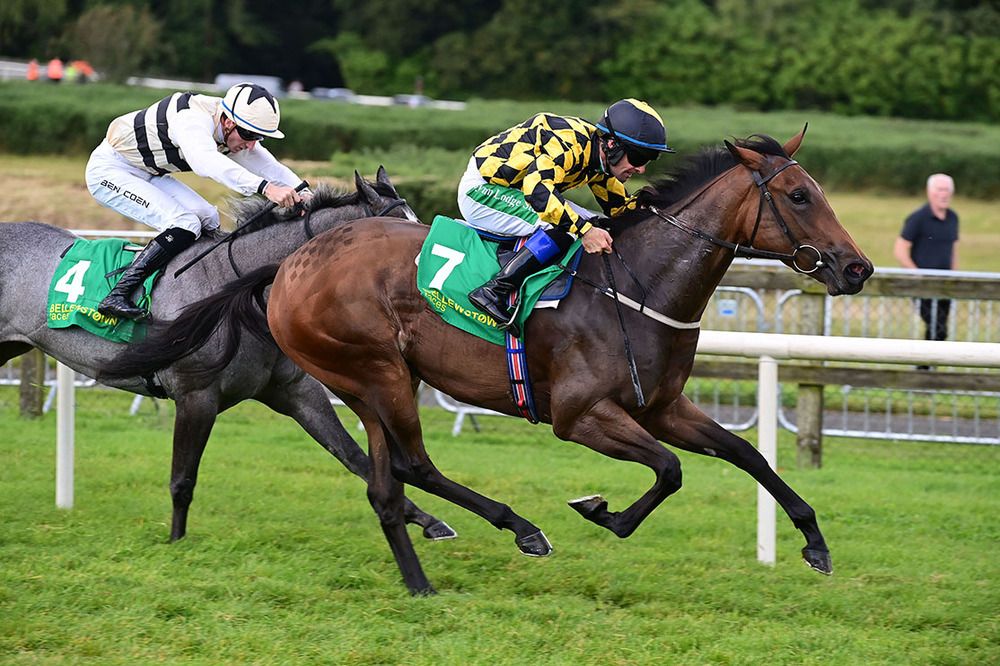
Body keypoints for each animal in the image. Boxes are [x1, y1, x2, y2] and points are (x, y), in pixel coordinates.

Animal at [0, 167, 454, 544]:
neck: (235, 290)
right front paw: (176, 542)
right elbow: (182, 479)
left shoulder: (294, 391)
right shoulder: (195, 395)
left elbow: (354, 456)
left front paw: (430, 521)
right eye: (398, 236)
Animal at [105, 130, 876, 592]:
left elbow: (746, 456)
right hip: (379, 373)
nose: (858, 268)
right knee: (413, 466)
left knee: (385, 485)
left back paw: (420, 580)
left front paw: (815, 543)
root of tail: (288, 264)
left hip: (365, 382)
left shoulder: (662, 405)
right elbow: (669, 470)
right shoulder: (580, 416)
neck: (637, 286)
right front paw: (601, 511)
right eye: (800, 194)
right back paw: (520, 531)